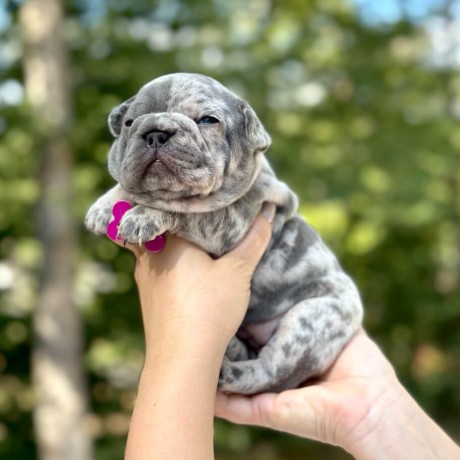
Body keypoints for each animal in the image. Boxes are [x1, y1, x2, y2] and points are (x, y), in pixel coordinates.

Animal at [85, 73, 362, 396]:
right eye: (129, 122)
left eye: (208, 120)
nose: (155, 133)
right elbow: (128, 187)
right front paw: (104, 205)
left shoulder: (231, 221)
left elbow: (187, 209)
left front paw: (145, 215)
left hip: (312, 319)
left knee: (273, 372)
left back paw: (231, 374)